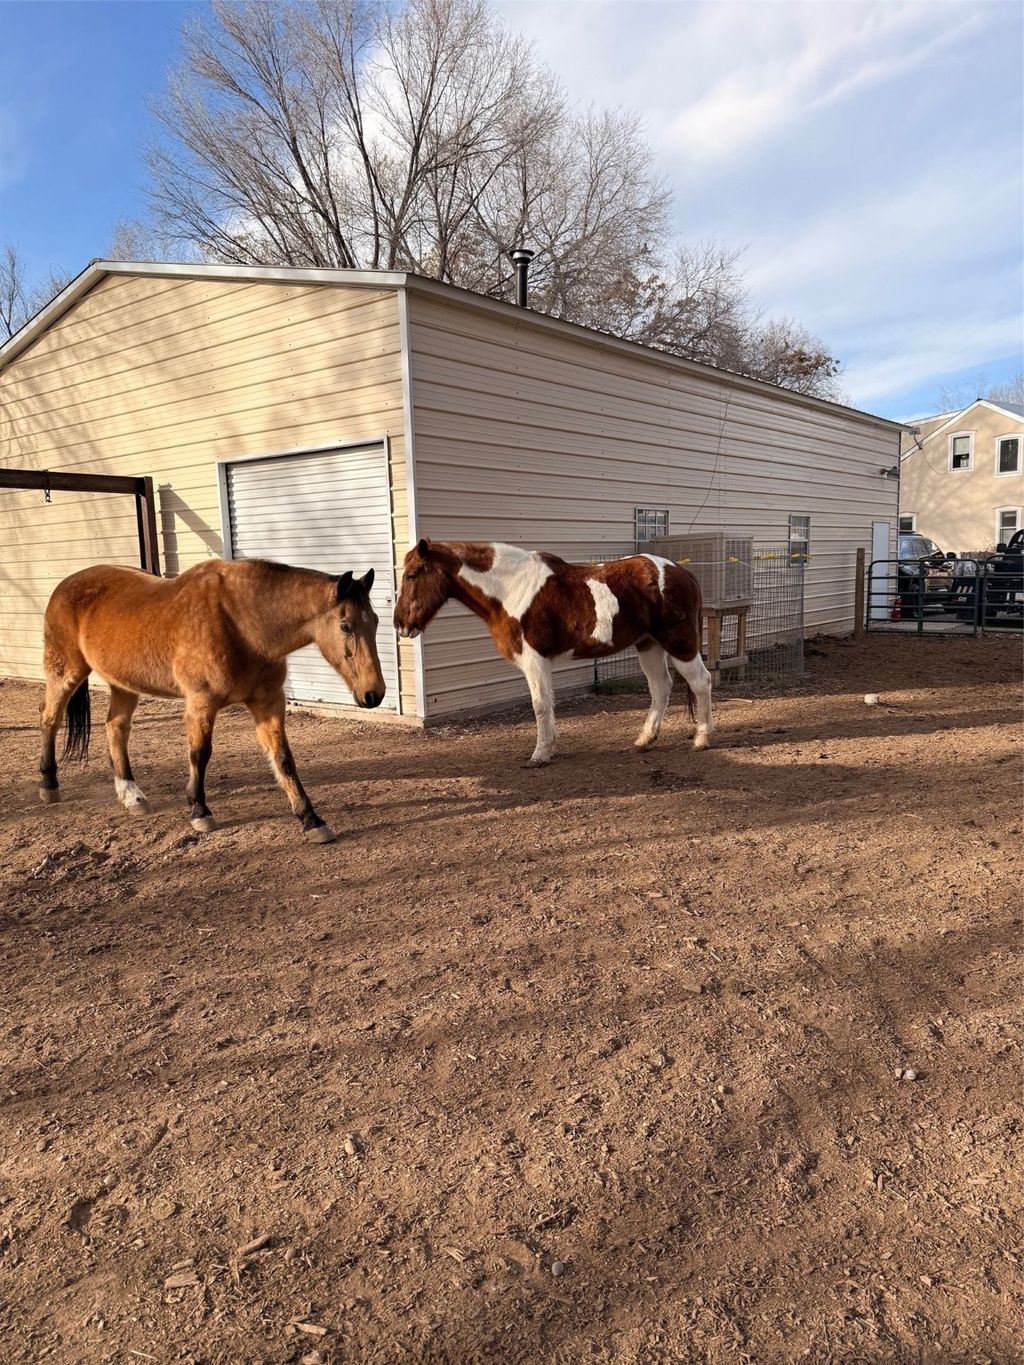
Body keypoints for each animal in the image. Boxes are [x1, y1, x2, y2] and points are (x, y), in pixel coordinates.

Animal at [38, 559, 385, 842]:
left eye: (376, 621)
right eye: (345, 626)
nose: (374, 694)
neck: (241, 622)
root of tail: (65, 585)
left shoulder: (268, 703)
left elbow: (283, 759)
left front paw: (311, 820)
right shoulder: (201, 704)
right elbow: (200, 754)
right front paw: (200, 811)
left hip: (123, 684)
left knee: (115, 728)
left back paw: (131, 794)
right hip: (66, 672)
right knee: (49, 718)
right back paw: (48, 784)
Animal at [393, 539, 713, 766]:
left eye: (411, 576)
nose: (400, 625)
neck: (511, 589)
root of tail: (683, 572)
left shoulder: (535, 659)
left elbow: (541, 704)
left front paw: (541, 754)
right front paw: (549, 747)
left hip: (679, 643)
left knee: (701, 682)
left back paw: (701, 739)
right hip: (649, 644)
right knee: (660, 687)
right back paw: (644, 740)